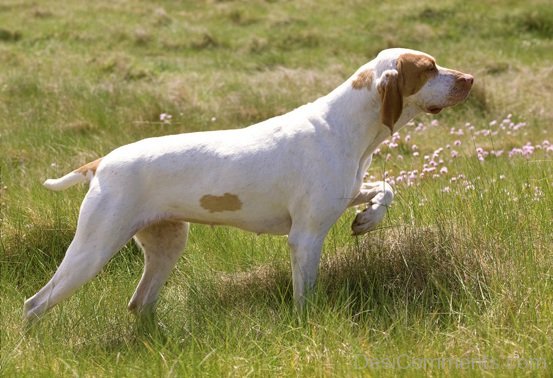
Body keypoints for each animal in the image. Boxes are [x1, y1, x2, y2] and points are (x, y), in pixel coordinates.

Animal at [23, 48, 472, 320]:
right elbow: (306, 298)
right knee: (34, 304)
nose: (469, 78)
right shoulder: (305, 237)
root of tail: (102, 162)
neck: (345, 126)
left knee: (139, 303)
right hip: (92, 250)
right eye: (428, 68)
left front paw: (368, 219)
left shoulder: (343, 194)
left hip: (167, 245)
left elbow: (387, 188)